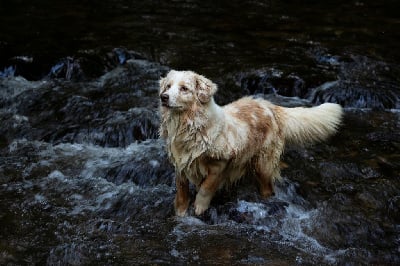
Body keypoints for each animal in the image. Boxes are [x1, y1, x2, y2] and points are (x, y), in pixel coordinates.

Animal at [158, 70, 342, 216]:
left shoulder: (220, 165)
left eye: (184, 88)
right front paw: (180, 212)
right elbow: (181, 191)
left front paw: (199, 207)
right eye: (168, 86)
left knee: (268, 188)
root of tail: (271, 106)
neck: (189, 125)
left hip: (263, 164)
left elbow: (206, 188)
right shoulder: (181, 165)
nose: (163, 97)